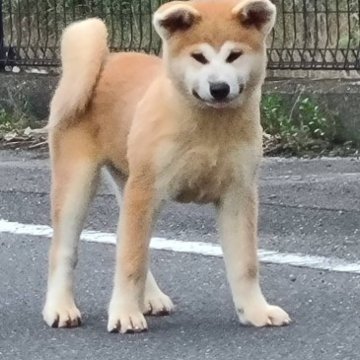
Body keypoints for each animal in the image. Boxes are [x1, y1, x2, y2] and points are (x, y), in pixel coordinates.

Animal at [42, 0, 292, 334]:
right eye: (199, 57)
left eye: (234, 55)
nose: (219, 88)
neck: (210, 126)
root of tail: (107, 60)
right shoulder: (145, 191)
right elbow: (130, 262)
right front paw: (124, 313)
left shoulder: (239, 194)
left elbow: (246, 264)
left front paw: (255, 311)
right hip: (81, 181)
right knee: (66, 250)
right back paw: (60, 308)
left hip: (128, 184)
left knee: (132, 244)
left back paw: (150, 299)